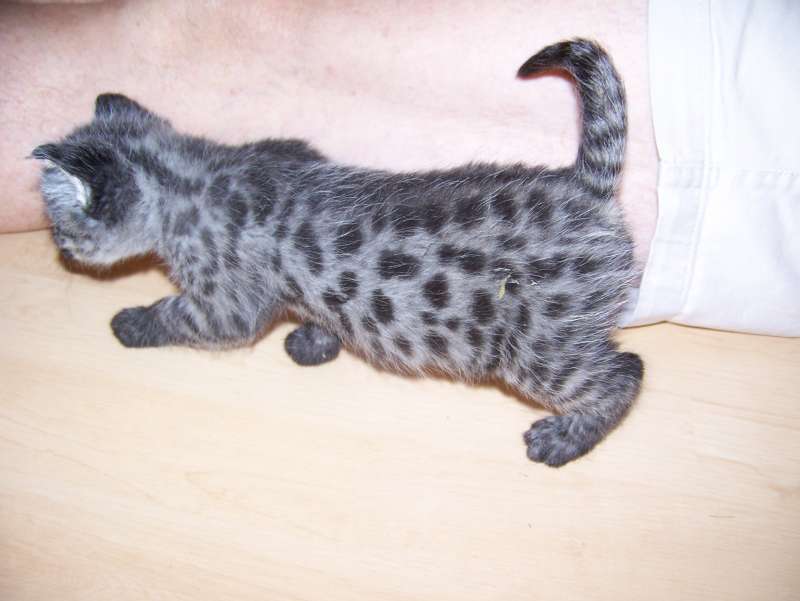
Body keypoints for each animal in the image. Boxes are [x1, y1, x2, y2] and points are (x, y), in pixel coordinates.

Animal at [33, 39, 643, 467]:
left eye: (63, 224)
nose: (58, 247)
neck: (192, 172)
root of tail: (584, 187)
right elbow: (327, 310)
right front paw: (314, 339)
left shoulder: (224, 305)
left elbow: (177, 314)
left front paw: (132, 322)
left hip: (539, 346)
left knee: (624, 372)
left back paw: (566, 438)